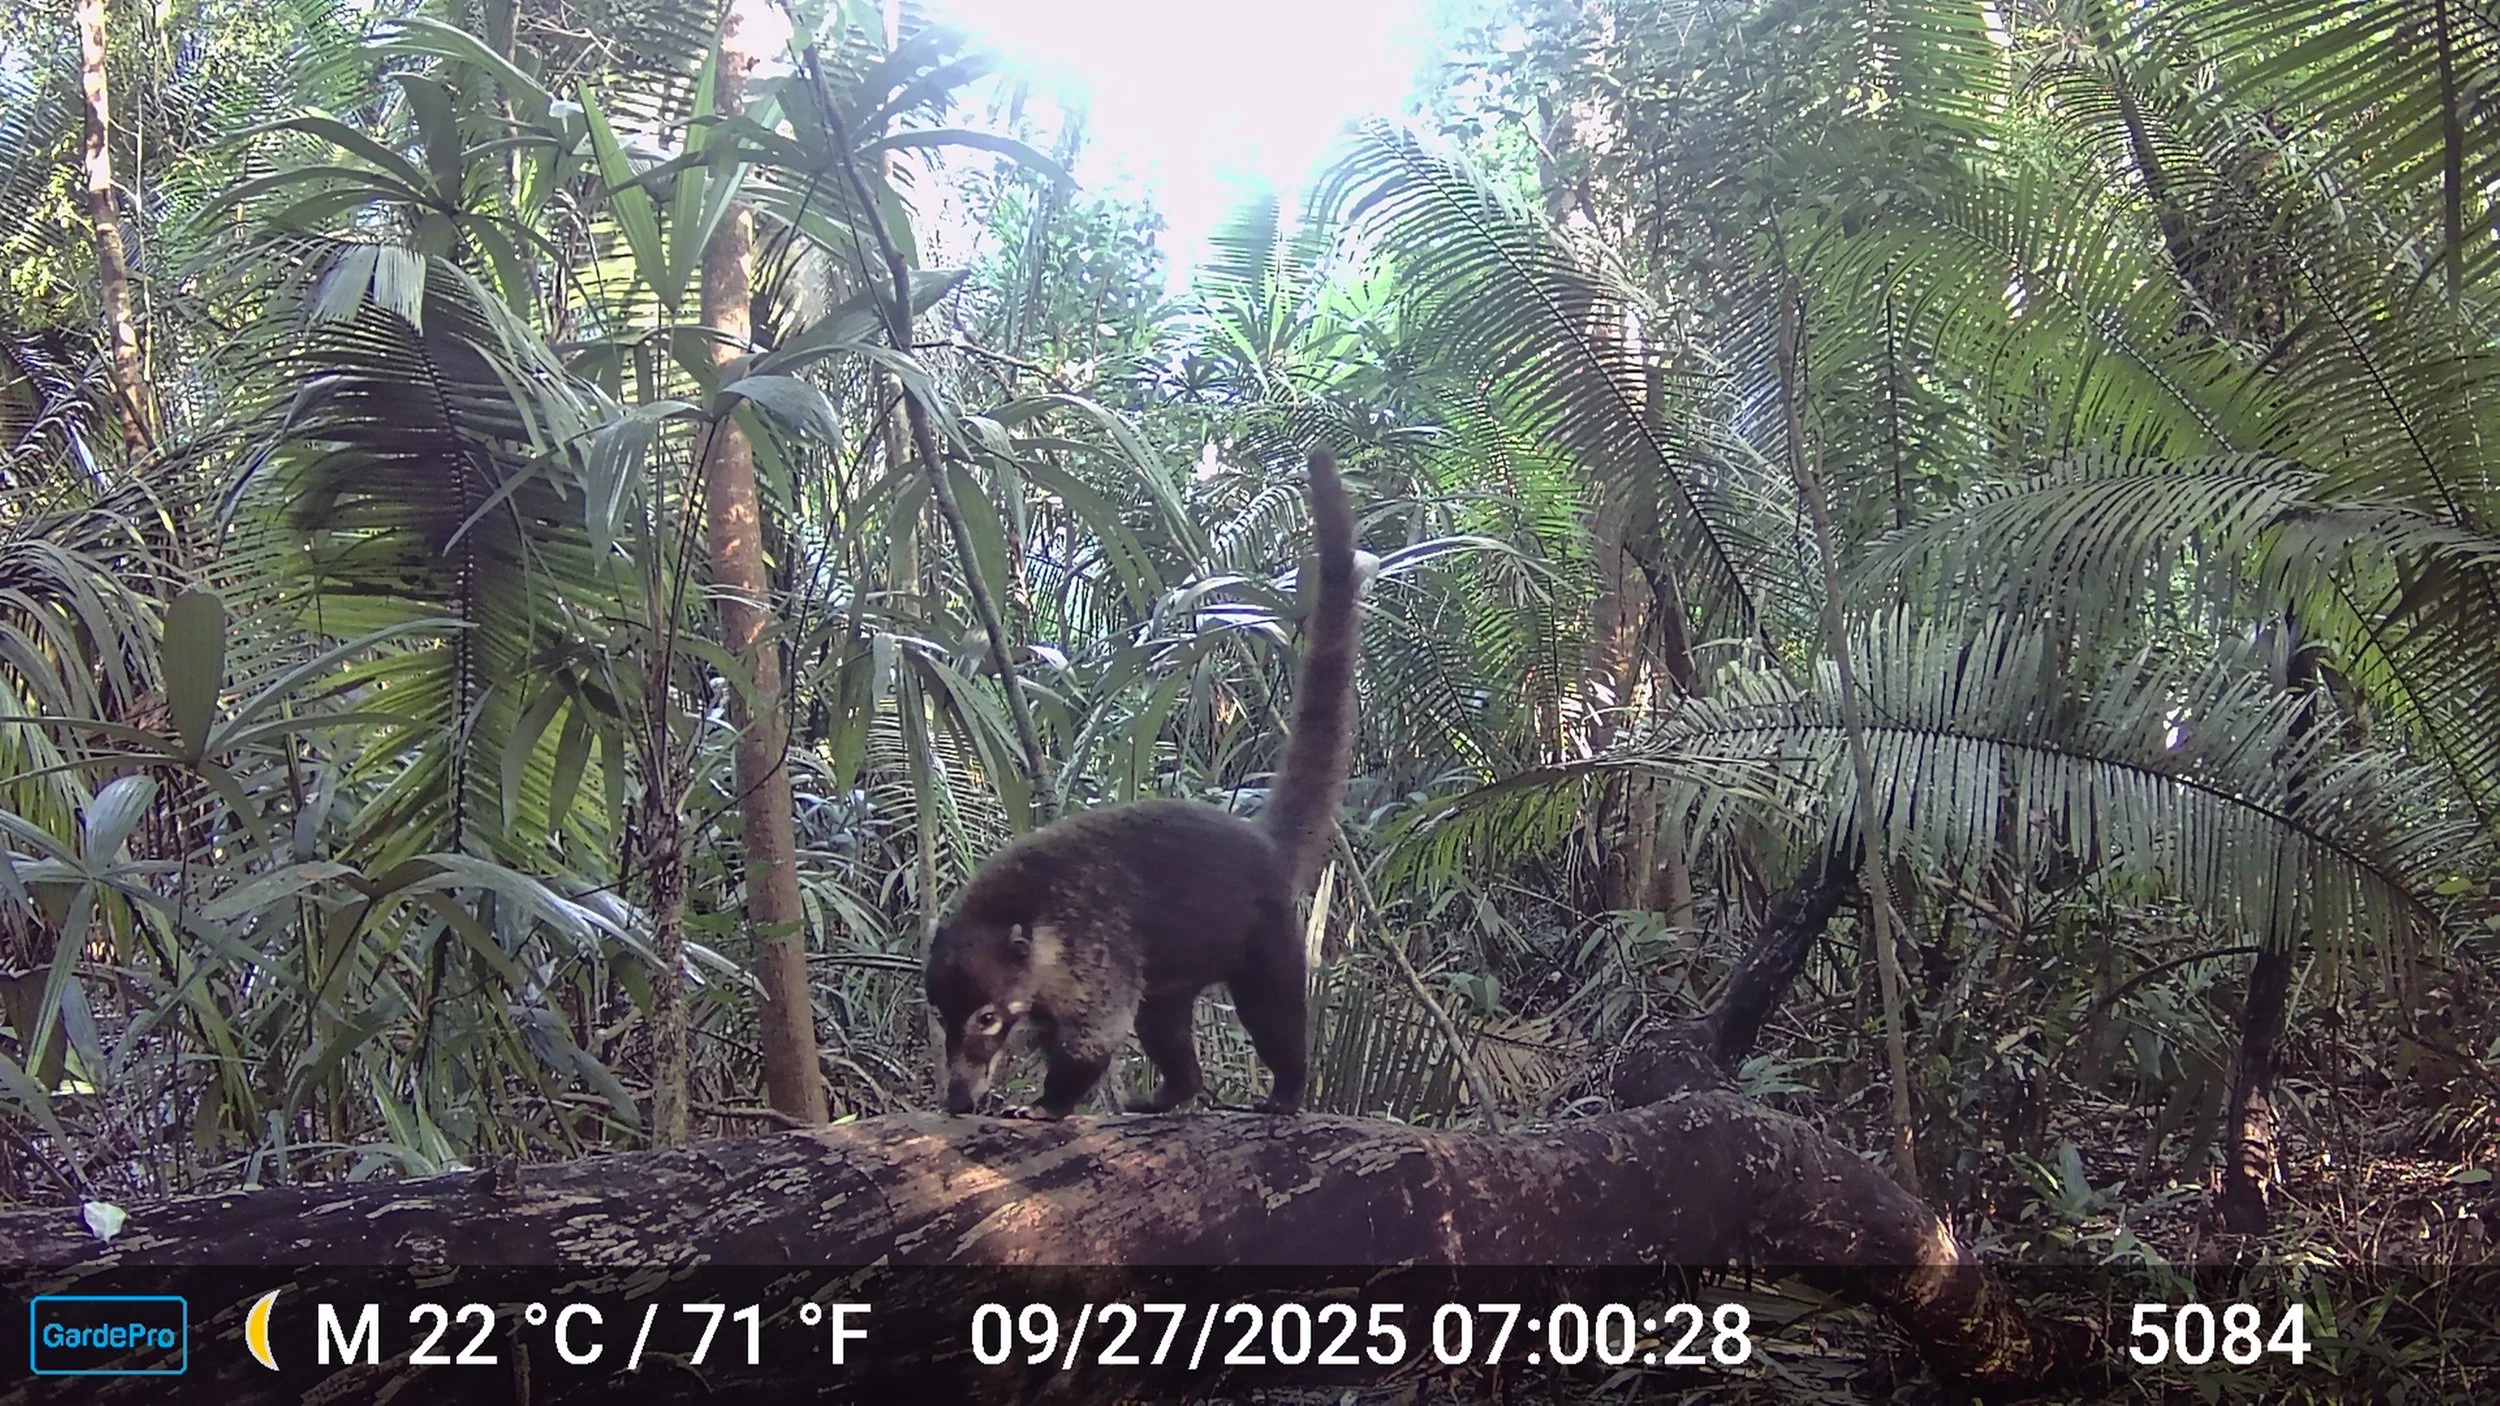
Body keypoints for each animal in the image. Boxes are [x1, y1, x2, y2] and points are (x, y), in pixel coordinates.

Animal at [926, 447, 1360, 1119]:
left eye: (988, 1019)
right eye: (942, 1018)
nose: (957, 1100)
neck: (1023, 919)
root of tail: (1261, 842)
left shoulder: (1093, 942)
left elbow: (1098, 1032)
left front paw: (1050, 1102)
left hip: (1265, 936)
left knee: (1274, 1014)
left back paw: (1287, 1089)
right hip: (1173, 975)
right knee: (1163, 1026)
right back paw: (1172, 1092)